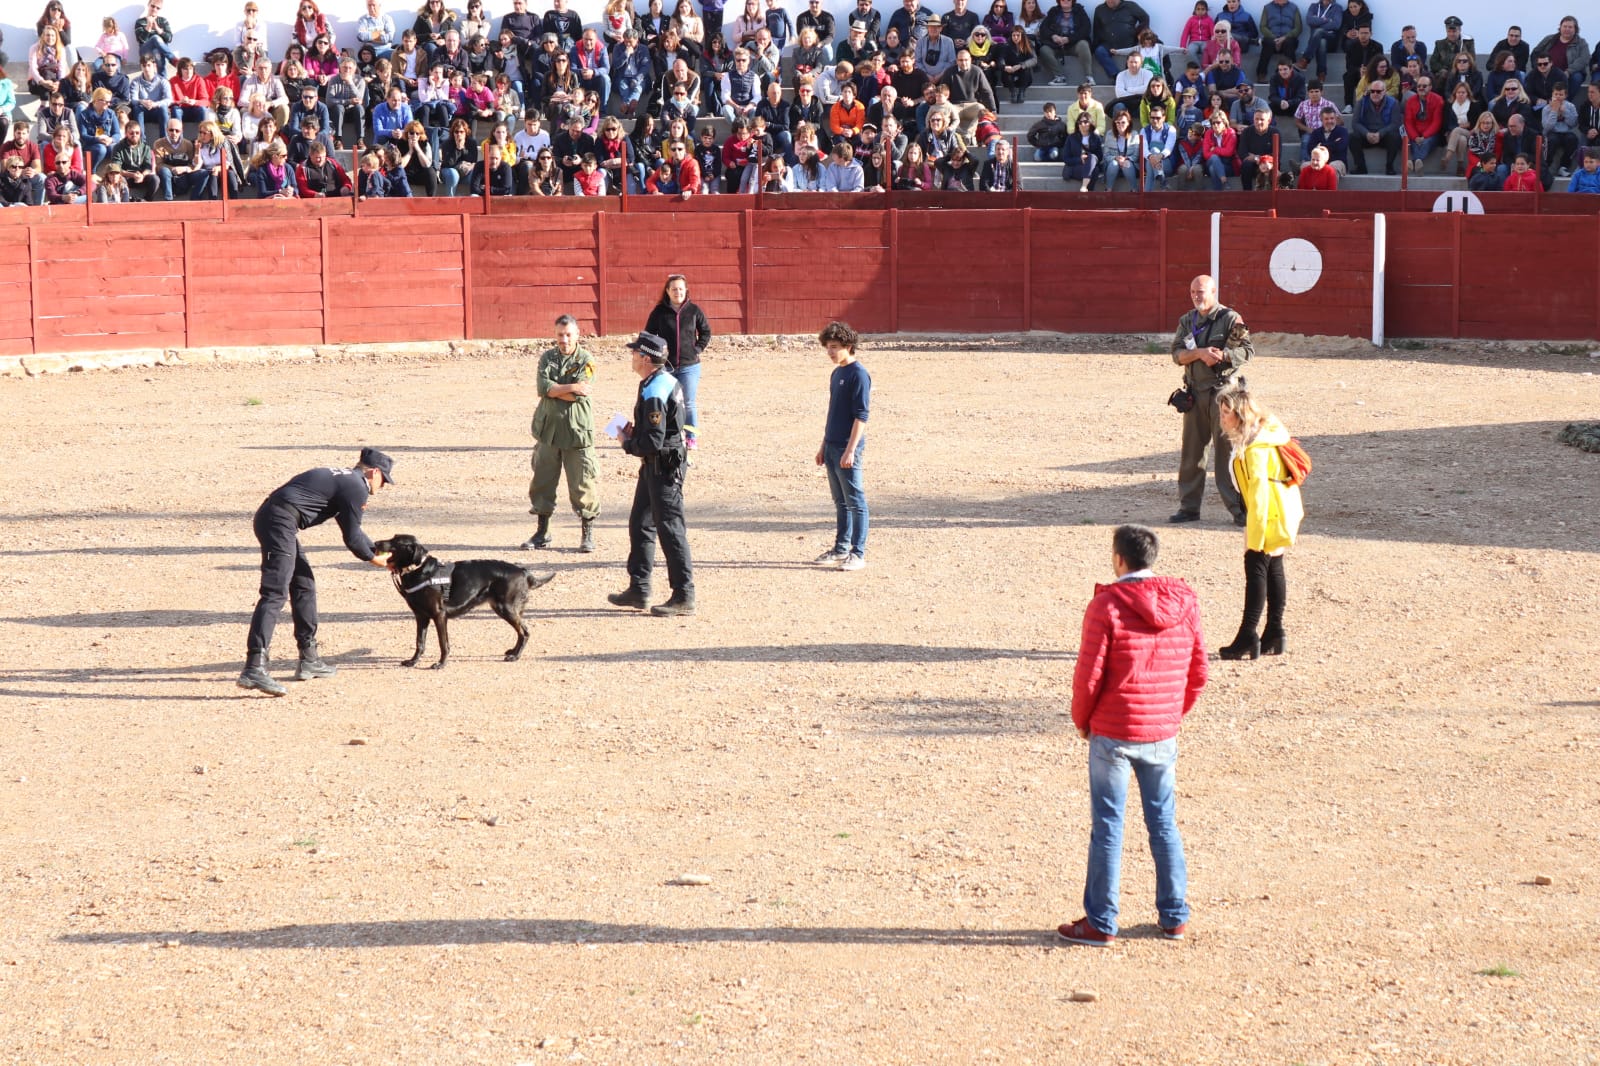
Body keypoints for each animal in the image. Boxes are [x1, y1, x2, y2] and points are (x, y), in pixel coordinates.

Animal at [374, 534, 556, 669]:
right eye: (393, 537)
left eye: (396, 542)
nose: (375, 543)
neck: (418, 571)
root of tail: (523, 571)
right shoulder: (421, 617)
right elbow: (420, 642)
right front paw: (412, 661)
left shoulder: (439, 615)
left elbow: (443, 643)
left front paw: (441, 664)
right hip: (506, 609)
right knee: (521, 632)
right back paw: (512, 651)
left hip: (506, 608)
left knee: (525, 632)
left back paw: (515, 656)